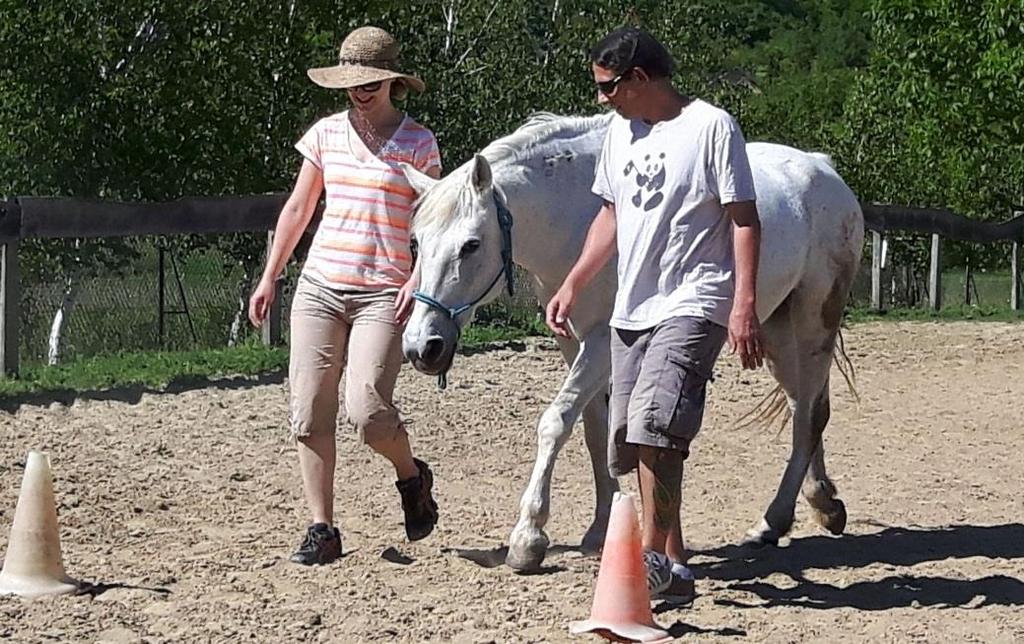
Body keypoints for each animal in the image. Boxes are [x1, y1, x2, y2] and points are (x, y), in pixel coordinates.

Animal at [399, 113, 864, 569]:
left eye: (471, 245)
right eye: (416, 242)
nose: (423, 346)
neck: (579, 219)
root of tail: (822, 168)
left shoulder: (601, 341)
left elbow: (555, 422)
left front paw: (528, 537)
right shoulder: (574, 341)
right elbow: (593, 429)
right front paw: (599, 529)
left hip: (814, 323)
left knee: (809, 415)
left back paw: (775, 520)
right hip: (774, 333)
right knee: (804, 407)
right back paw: (819, 506)